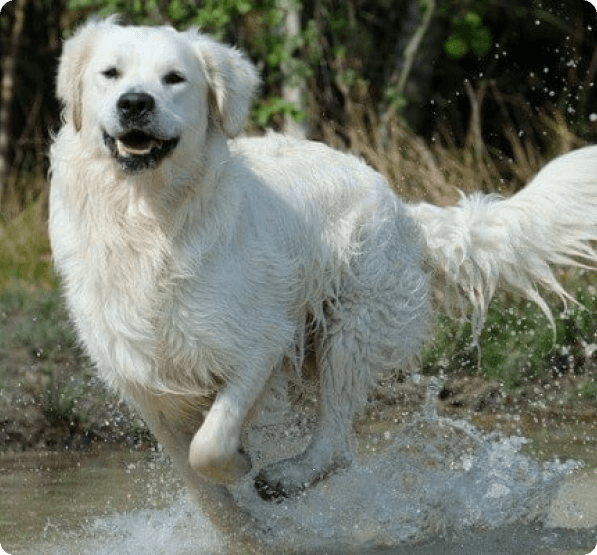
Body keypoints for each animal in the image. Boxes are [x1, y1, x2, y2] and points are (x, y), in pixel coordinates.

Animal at [49, 16, 596, 516]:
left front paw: (242, 464)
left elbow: (210, 446)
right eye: (110, 73)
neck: (147, 220)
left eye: (174, 78)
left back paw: (288, 476)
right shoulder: (143, 383)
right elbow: (204, 489)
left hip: (349, 328)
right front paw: (243, 534)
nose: (135, 103)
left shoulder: (260, 343)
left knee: (336, 442)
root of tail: (404, 210)